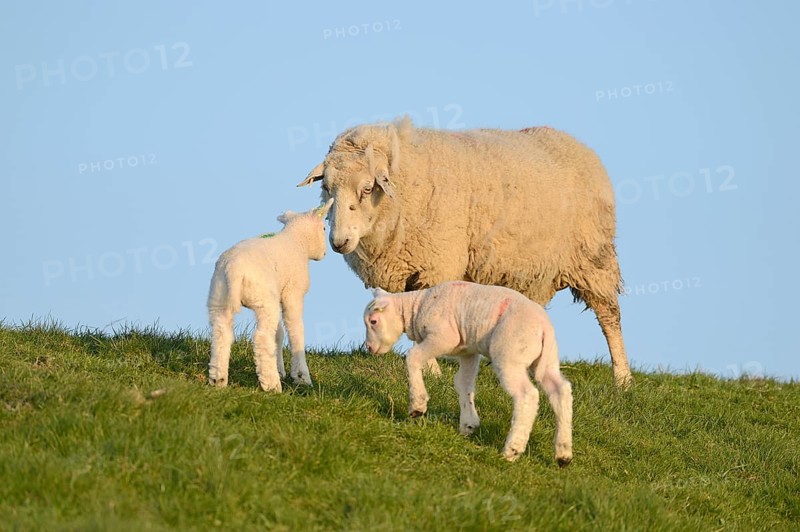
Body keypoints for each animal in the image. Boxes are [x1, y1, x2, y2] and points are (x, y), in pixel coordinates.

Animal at [207, 199, 333, 392]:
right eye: (324, 228)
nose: (325, 253)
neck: (296, 241)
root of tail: (233, 270)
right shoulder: (293, 292)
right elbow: (295, 329)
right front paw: (301, 376)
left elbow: (279, 333)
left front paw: (281, 369)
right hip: (264, 299)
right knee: (262, 337)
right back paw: (272, 385)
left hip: (219, 295)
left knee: (221, 332)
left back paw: (218, 379)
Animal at [298, 117, 633, 387]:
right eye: (327, 187)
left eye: (367, 188)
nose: (339, 242)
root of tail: (576, 144)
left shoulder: (436, 266)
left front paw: (431, 371)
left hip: (593, 257)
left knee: (610, 317)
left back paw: (623, 378)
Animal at [363, 281, 573, 464]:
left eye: (373, 321)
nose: (369, 348)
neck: (416, 306)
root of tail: (544, 328)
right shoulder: (468, 351)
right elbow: (463, 384)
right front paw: (468, 423)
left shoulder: (444, 336)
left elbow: (413, 357)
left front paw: (417, 405)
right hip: (547, 360)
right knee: (560, 390)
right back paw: (563, 453)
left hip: (510, 354)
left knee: (527, 395)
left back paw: (512, 450)